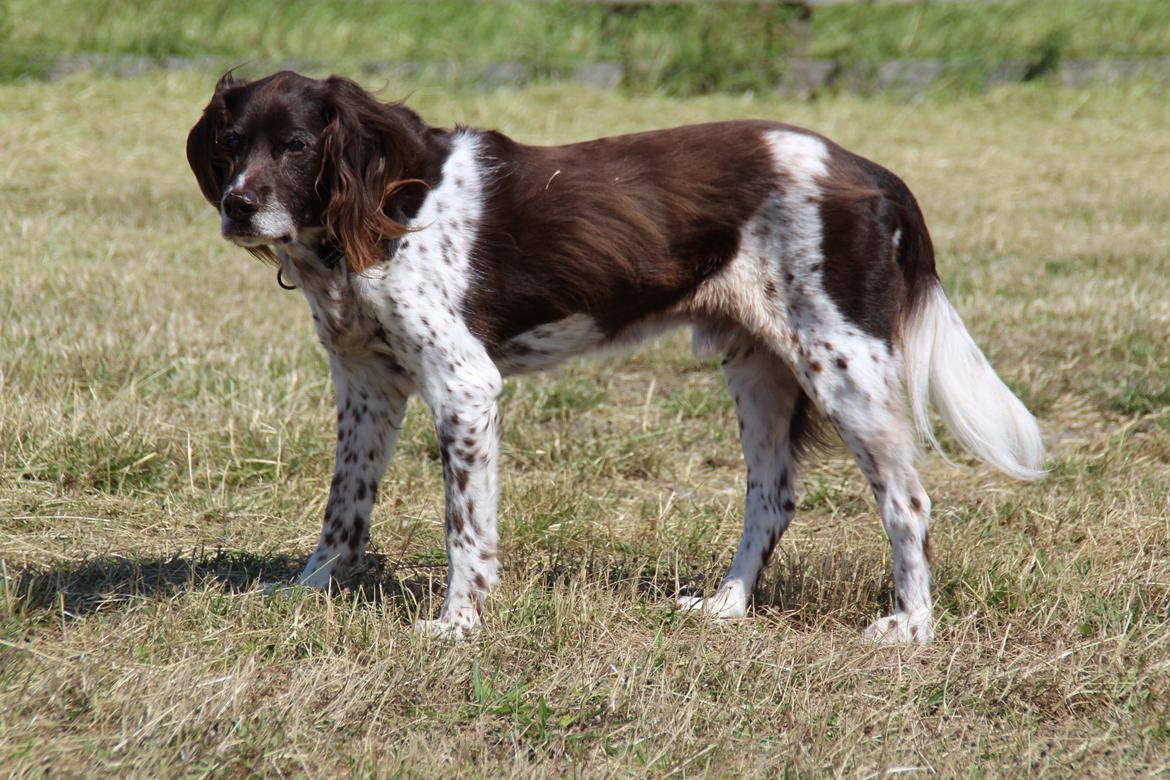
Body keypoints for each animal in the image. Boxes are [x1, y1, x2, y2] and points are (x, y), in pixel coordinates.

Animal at [189, 70, 1043, 645]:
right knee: (771, 497)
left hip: (845, 367)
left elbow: (465, 529)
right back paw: (727, 607)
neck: (374, 209)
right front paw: (308, 593)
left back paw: (911, 626)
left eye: (298, 145)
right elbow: (344, 513)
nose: (238, 205)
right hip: (759, 367)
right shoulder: (366, 385)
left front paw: (458, 625)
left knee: (908, 501)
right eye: (232, 143)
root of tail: (869, 171)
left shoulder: (465, 386)